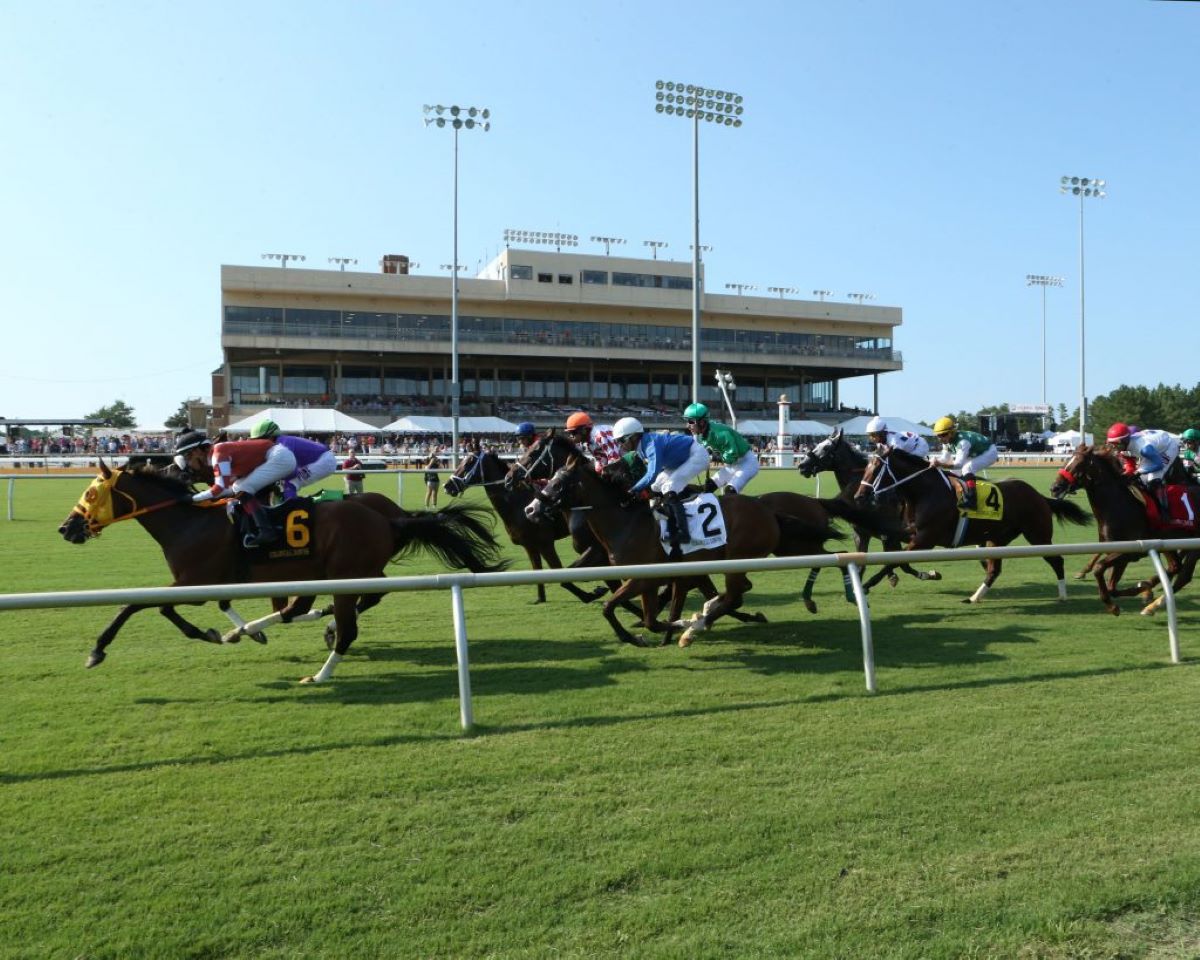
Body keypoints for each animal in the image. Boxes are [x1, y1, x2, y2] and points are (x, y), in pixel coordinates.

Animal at [59, 458, 506, 676]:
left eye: (91, 493)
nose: (67, 528)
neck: (188, 520)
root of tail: (391, 518)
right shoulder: (204, 583)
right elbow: (169, 607)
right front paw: (222, 632)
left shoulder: (195, 581)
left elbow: (135, 605)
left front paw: (97, 650)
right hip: (332, 570)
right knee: (333, 601)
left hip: (342, 570)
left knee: (348, 603)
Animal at [441, 444, 609, 607]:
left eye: (468, 462)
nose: (447, 485)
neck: (517, 503)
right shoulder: (529, 545)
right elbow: (537, 571)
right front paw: (540, 598)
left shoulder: (545, 544)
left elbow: (560, 574)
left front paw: (590, 594)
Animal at [525, 453, 844, 648]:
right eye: (550, 478)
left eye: (560, 482)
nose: (530, 509)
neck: (626, 521)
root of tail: (766, 510)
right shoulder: (648, 580)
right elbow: (644, 617)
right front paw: (645, 633)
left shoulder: (644, 577)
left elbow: (611, 607)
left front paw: (673, 626)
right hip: (781, 548)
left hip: (739, 558)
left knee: (736, 593)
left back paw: (696, 626)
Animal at [801, 429, 940, 592]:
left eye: (826, 448)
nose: (802, 465)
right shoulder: (862, 534)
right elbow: (863, 566)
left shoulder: (890, 535)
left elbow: (901, 563)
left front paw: (928, 574)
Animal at [859, 446, 1094, 604]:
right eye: (865, 466)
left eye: (876, 468)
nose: (859, 496)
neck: (925, 492)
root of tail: (1040, 496)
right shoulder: (912, 533)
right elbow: (897, 557)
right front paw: (928, 574)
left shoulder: (926, 538)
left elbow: (893, 562)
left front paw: (866, 585)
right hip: (996, 539)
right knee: (994, 570)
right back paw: (974, 597)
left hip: (1038, 535)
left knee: (1057, 560)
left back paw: (1062, 595)